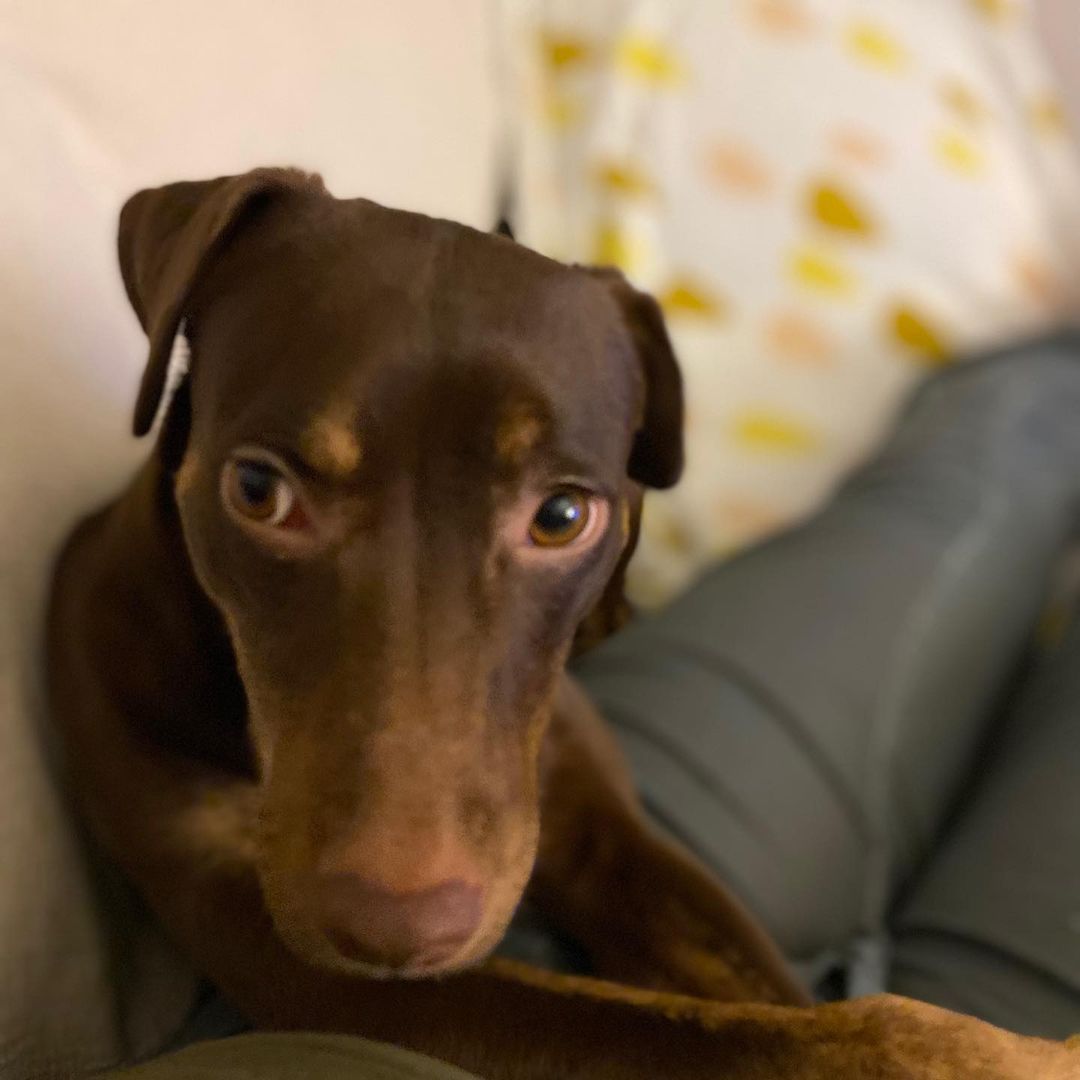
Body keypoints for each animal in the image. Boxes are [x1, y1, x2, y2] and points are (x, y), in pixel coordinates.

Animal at [48, 164, 1080, 1075]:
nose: (395, 929)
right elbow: (735, 1037)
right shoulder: (266, 931)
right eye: (258, 490)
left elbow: (766, 1002)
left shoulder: (601, 830)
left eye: (562, 516)